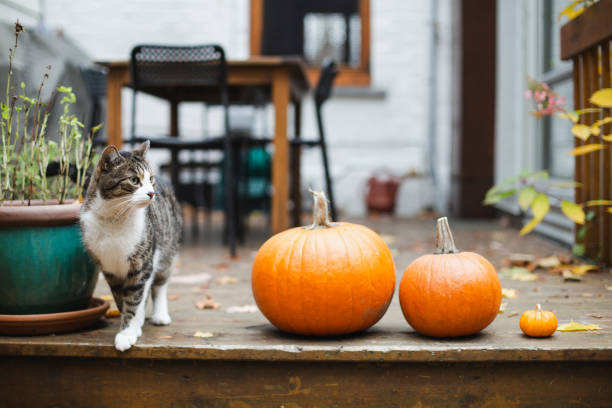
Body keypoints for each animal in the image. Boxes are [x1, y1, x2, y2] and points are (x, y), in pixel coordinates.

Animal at [79, 141, 180, 350]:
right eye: (134, 180)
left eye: (150, 179)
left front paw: (127, 333)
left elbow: (134, 299)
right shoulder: (110, 269)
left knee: (160, 283)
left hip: (167, 247)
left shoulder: (142, 264)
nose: (152, 193)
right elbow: (121, 299)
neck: (115, 219)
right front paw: (131, 326)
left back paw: (160, 315)